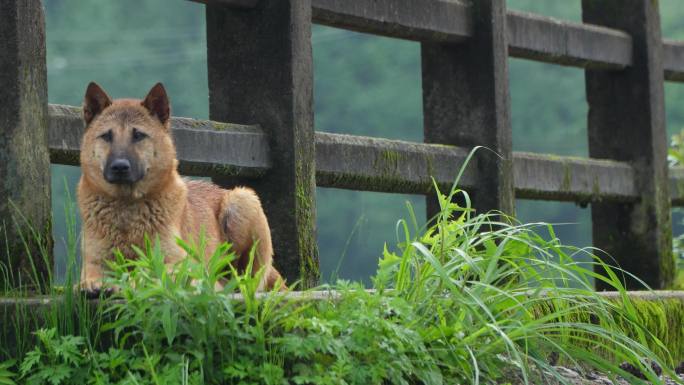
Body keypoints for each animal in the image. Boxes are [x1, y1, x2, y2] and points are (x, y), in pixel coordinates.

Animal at [78, 82, 284, 292]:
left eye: (138, 135)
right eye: (106, 136)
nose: (119, 167)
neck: (126, 205)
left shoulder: (177, 261)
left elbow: (151, 271)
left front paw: (136, 280)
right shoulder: (94, 261)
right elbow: (93, 273)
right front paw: (94, 282)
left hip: (242, 200)